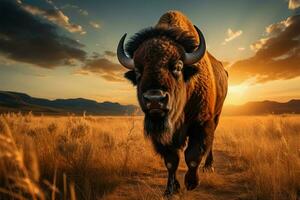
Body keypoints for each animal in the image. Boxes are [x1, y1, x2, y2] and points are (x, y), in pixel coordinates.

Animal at [116, 10, 227, 195]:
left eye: (178, 66)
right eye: (138, 71)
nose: (155, 99)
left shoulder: (201, 123)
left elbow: (193, 156)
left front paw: (191, 183)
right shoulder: (163, 135)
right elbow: (171, 161)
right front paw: (171, 189)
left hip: (217, 115)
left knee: (210, 142)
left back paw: (208, 167)